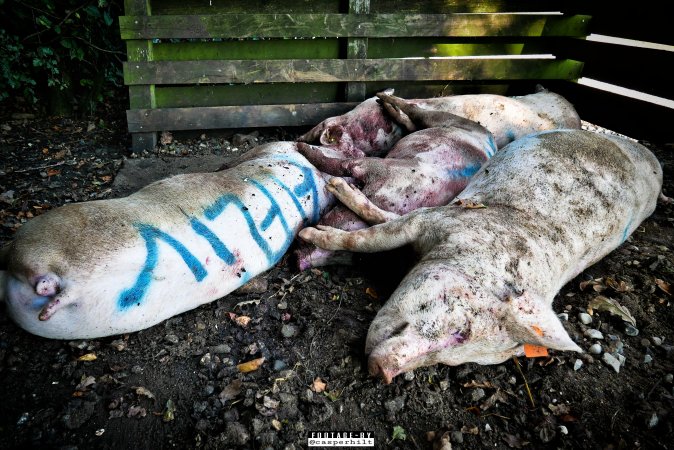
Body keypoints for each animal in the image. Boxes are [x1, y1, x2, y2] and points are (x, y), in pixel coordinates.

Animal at [300, 128, 660, 382]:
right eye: (463, 330)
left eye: (460, 356)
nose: (383, 372)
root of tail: (650, 156)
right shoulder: (442, 219)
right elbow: (368, 236)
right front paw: (311, 230)